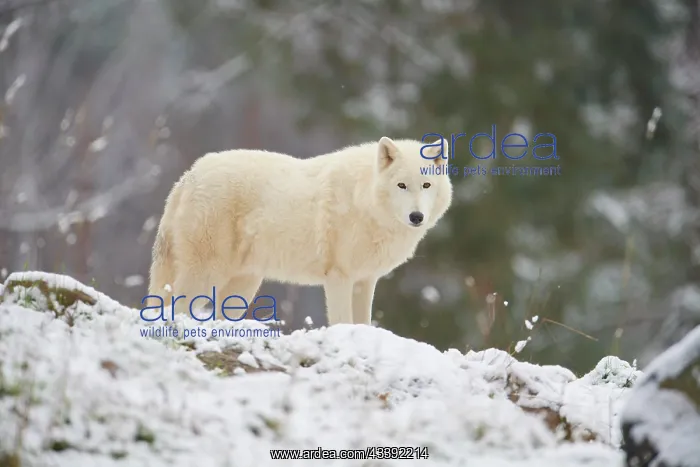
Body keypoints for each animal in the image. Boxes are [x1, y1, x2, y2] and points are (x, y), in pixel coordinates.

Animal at [147, 136, 453, 325]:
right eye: (402, 185)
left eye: (426, 185)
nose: (416, 216)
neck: (364, 200)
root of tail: (188, 176)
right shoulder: (339, 277)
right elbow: (343, 321)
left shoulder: (365, 281)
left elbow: (364, 324)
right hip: (206, 275)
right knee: (178, 309)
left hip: (242, 285)